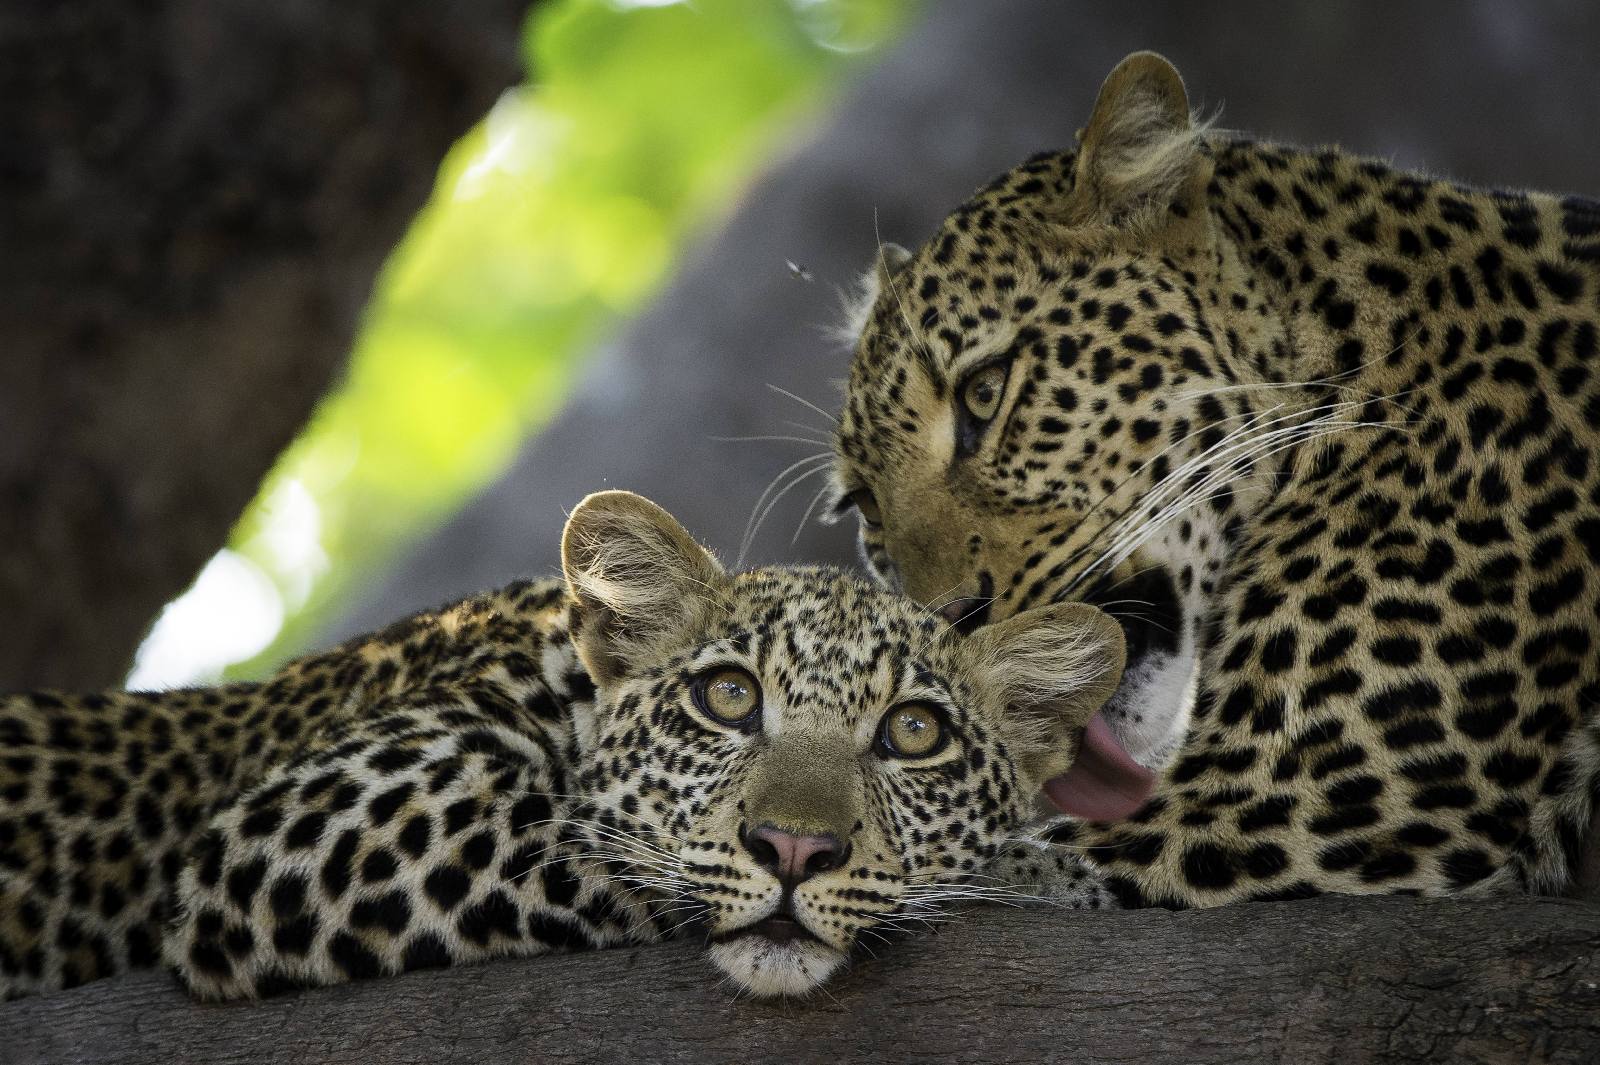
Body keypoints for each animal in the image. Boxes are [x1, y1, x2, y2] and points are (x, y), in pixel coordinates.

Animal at [0, 490, 1125, 1002]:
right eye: (728, 697)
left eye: (913, 733)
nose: (795, 851)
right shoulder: (315, 816)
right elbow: (602, 840)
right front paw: (1063, 864)